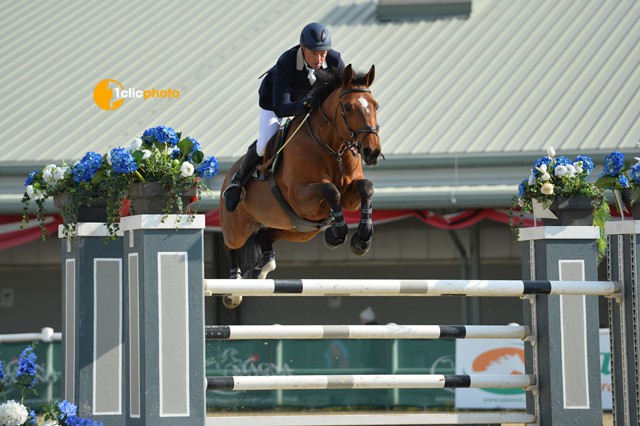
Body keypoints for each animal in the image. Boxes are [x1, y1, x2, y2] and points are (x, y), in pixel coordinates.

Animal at [219, 64, 380, 310]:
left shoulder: (349, 195)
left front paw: (361, 239)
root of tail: (228, 176)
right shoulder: (302, 198)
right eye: (348, 107)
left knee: (264, 235)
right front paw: (337, 233)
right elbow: (330, 190)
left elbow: (366, 188)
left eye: (375, 106)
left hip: (300, 230)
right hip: (237, 226)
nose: (372, 151)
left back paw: (261, 269)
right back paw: (234, 288)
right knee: (232, 246)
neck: (331, 148)